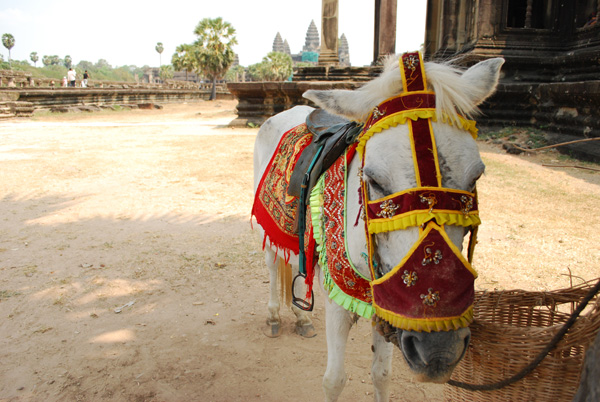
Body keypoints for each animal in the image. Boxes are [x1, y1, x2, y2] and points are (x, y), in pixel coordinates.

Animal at [251, 54, 504, 402]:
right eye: (374, 180)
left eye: (476, 177)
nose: (439, 350)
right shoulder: (338, 301)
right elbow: (334, 380)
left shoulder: (389, 309)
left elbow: (382, 376)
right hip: (267, 226)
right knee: (273, 263)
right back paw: (274, 316)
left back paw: (302, 318)